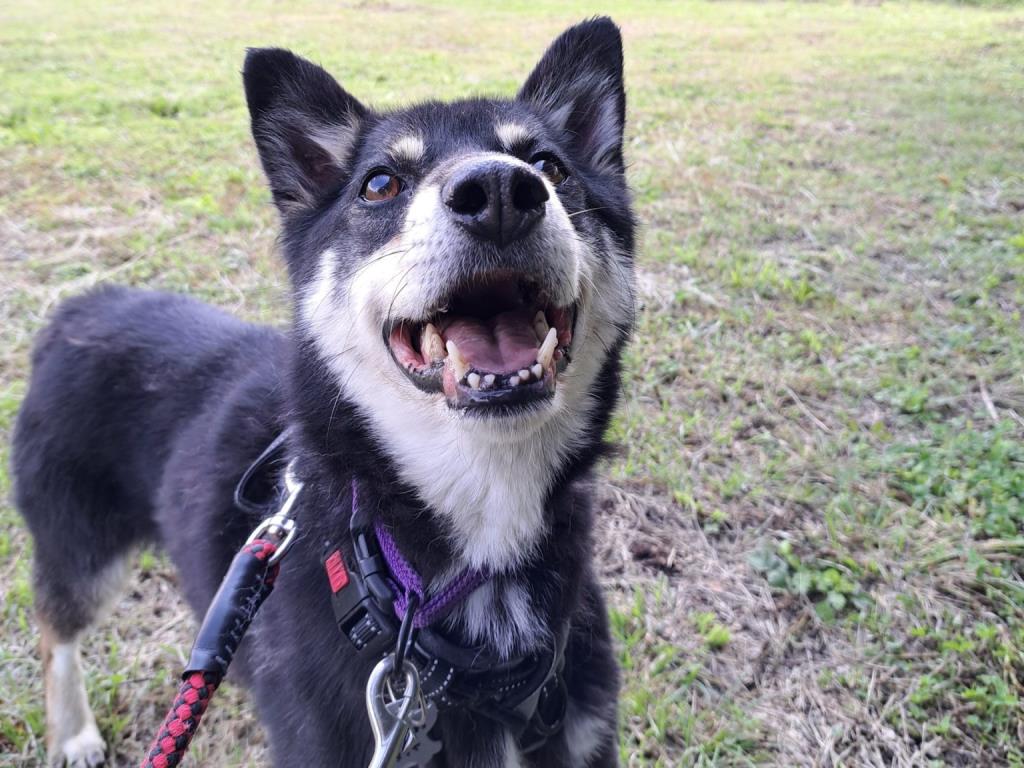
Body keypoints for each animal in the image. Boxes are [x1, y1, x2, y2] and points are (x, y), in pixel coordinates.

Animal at [13, 16, 635, 768]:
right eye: (379, 183)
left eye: (549, 165)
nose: (500, 193)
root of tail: (77, 308)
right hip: (80, 542)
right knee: (54, 629)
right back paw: (72, 732)